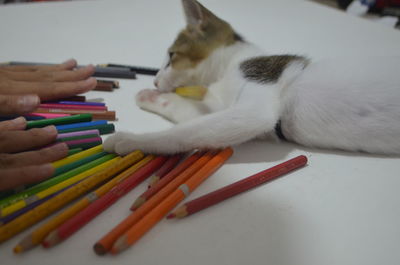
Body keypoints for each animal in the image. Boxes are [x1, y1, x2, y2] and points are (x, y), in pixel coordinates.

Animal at [104, 0, 400, 155]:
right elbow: (192, 116)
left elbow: (184, 132)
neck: (231, 66)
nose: (154, 81)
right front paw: (152, 98)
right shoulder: (233, 113)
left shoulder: (256, 108)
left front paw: (135, 141)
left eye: (171, 56)